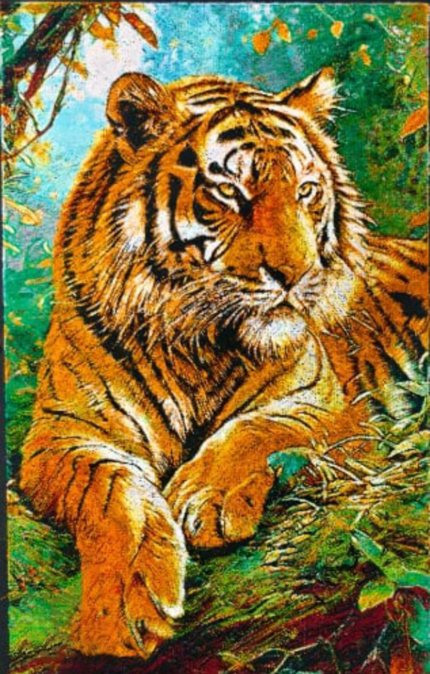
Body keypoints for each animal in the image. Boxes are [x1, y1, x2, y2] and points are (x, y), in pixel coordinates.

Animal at [20, 68, 428, 659]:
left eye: (306, 190)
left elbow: (258, 429)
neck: (196, 345)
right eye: (229, 191)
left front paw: (204, 498)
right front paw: (118, 610)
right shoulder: (64, 433)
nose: (296, 274)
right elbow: (113, 492)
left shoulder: (331, 407)